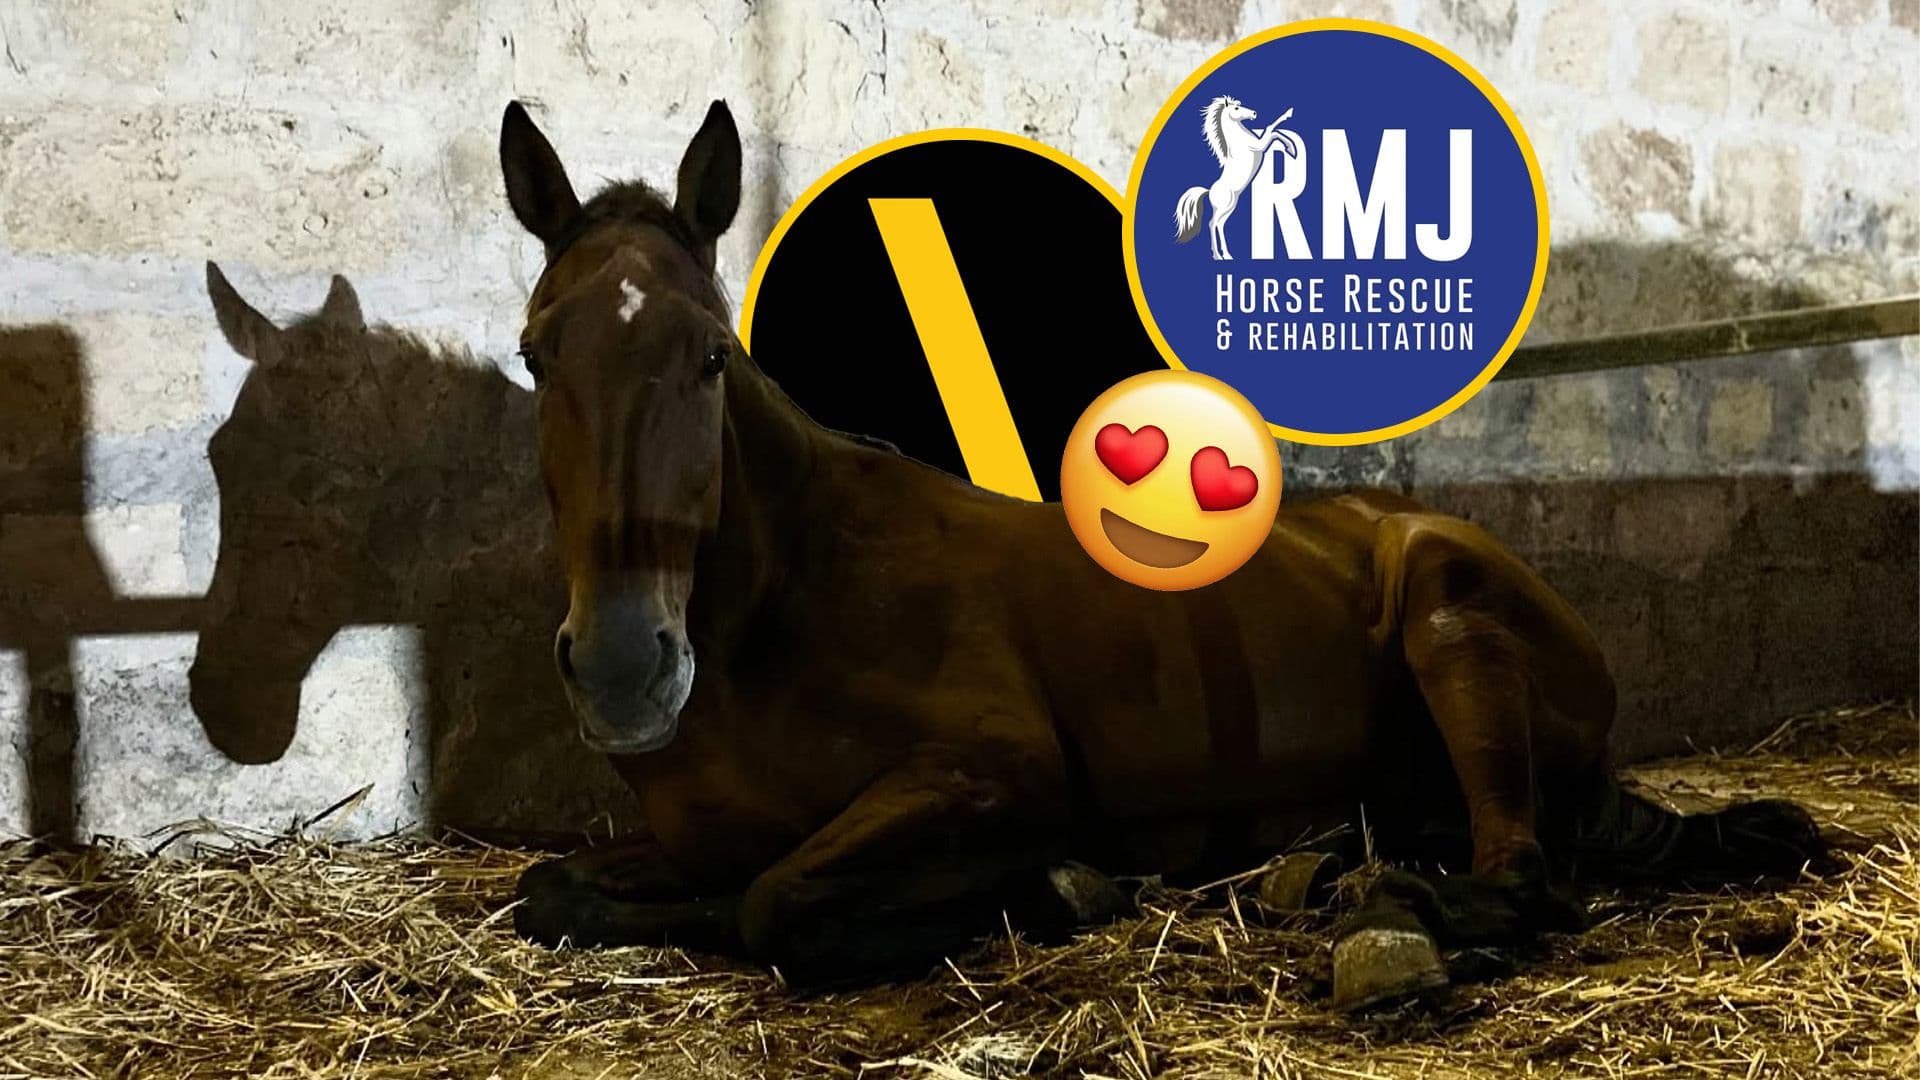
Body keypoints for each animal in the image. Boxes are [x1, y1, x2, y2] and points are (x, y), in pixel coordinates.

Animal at [1174, 95, 1302, 260]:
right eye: (1236, 108)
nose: (1254, 113)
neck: (1240, 138)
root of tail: (1209, 191)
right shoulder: (1259, 145)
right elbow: (1271, 128)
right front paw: (1291, 140)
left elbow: (1275, 132)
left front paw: (1291, 149)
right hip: (1223, 206)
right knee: (1212, 223)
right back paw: (1217, 255)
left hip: (1231, 206)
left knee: (1220, 224)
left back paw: (1227, 255)